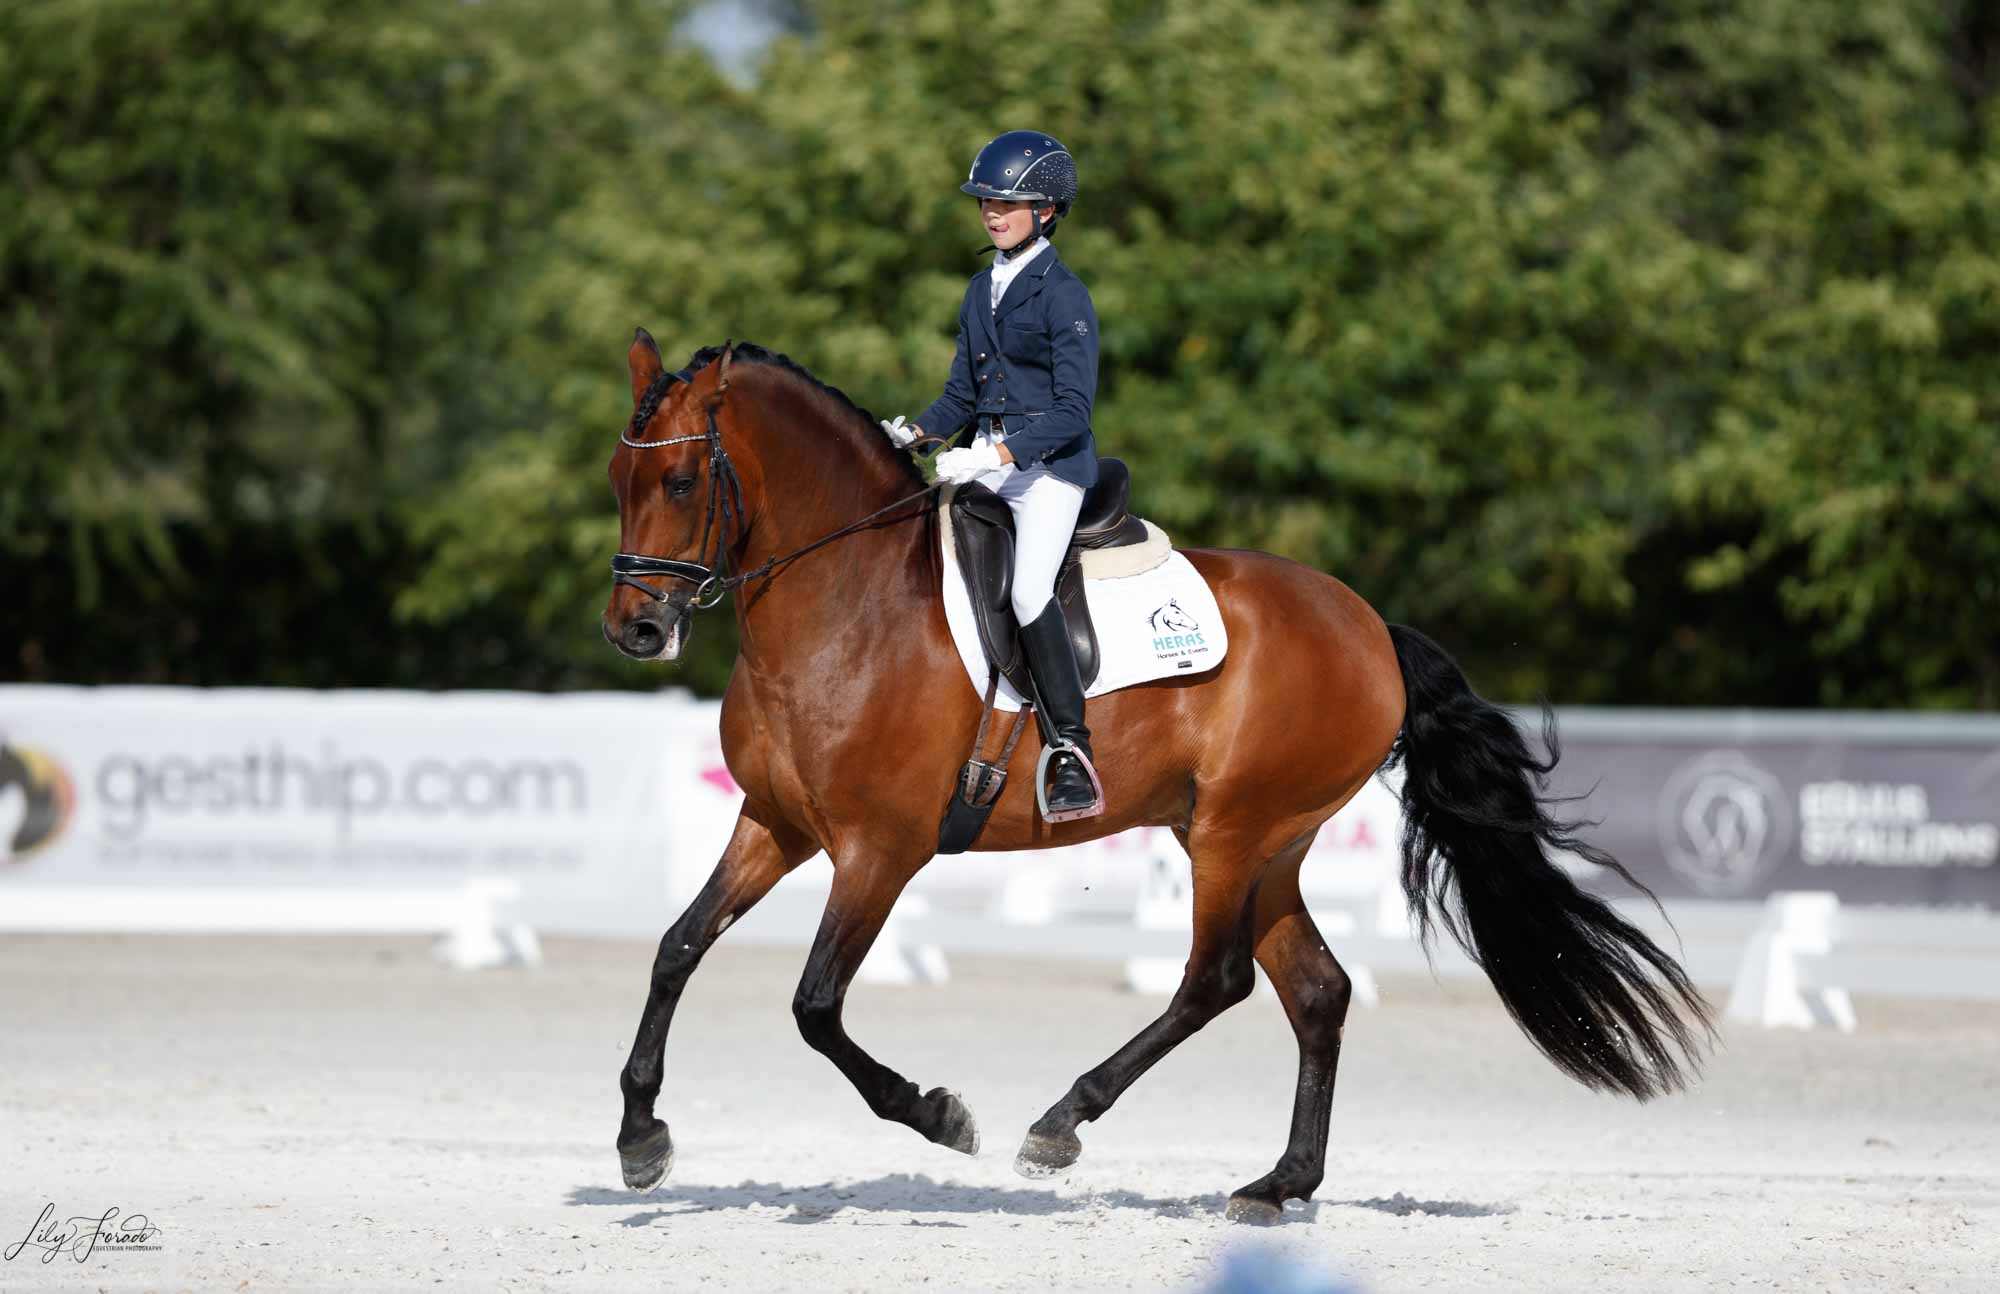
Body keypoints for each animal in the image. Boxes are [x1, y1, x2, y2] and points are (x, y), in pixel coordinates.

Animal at [600, 334, 1712, 1224]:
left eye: (684, 484)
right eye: (618, 478)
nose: (636, 631)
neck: (845, 602)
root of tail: (1369, 629)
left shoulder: (879, 850)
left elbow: (816, 1005)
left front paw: (940, 1114)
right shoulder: (774, 824)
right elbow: (676, 948)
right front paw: (640, 1139)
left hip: (1233, 832)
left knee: (1213, 980)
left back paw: (1061, 1122)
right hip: (1262, 843)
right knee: (1316, 991)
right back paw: (1277, 1184)